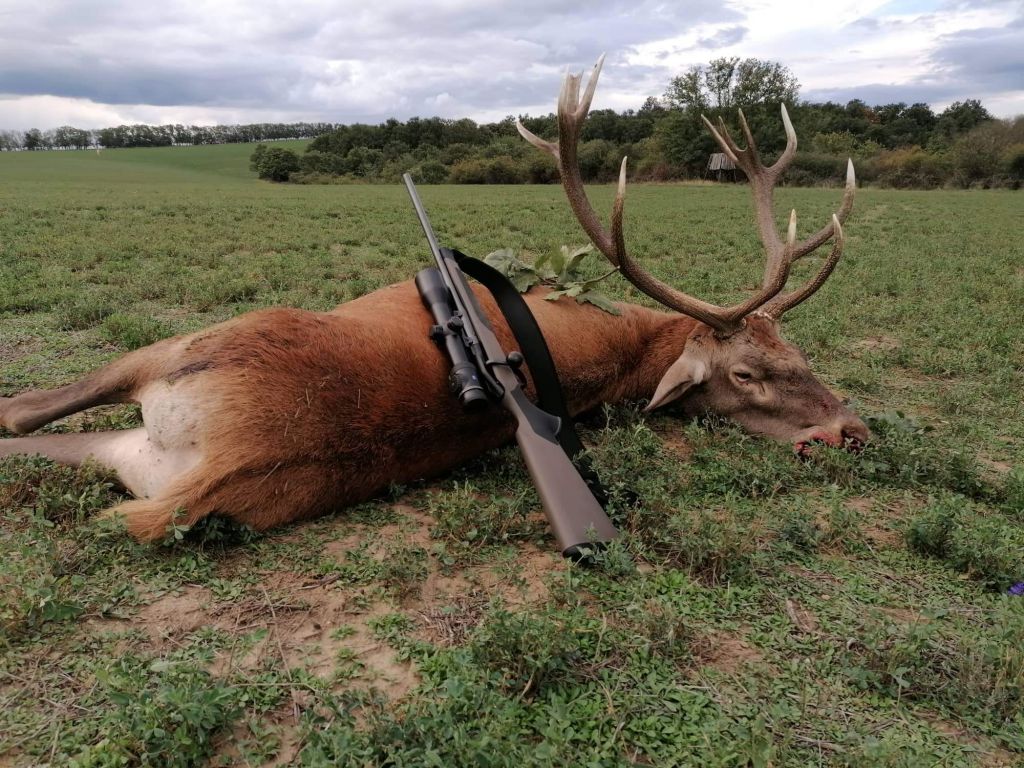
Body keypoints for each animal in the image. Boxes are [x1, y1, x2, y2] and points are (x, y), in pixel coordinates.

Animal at [0, 56, 867, 542]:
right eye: (755, 370)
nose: (851, 428)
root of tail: (217, 466)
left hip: (190, 346)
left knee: (21, 411)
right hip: (137, 452)